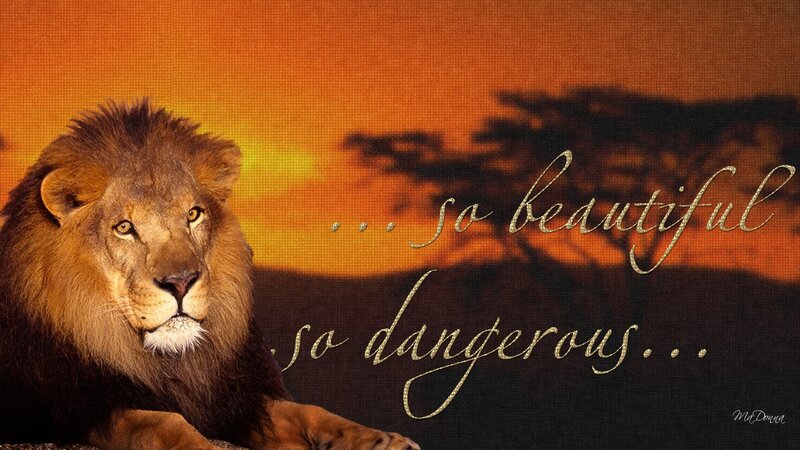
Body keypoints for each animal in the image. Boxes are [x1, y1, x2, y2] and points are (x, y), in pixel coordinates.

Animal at [0, 102, 420, 450]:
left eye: (193, 214)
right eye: (124, 228)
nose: (181, 281)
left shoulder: (232, 398)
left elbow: (307, 410)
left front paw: (382, 439)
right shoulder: (81, 405)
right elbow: (161, 422)